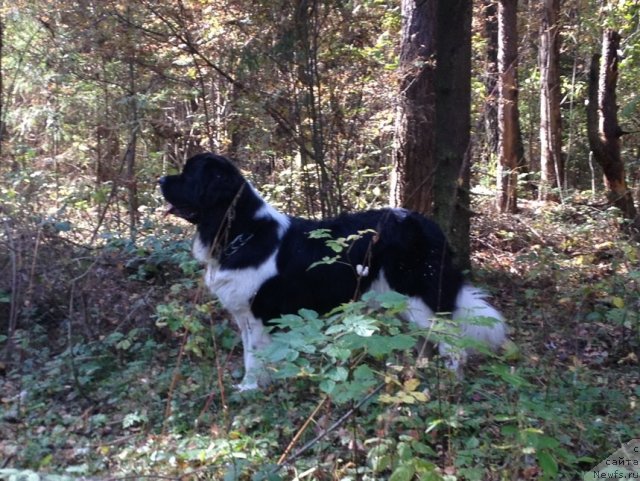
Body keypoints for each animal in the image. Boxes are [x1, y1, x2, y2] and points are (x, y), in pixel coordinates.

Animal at [159, 154, 504, 390]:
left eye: (189, 175)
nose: (161, 179)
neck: (244, 231)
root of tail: (431, 227)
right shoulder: (245, 315)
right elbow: (250, 355)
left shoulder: (259, 316)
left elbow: (254, 357)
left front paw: (250, 388)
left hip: (417, 296)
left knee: (451, 344)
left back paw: (448, 383)